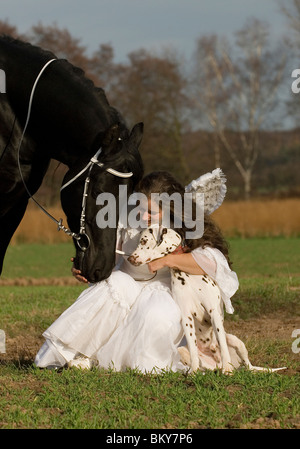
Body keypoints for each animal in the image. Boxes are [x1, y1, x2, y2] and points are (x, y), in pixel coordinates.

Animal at [127, 226, 288, 372]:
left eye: (143, 241)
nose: (129, 258)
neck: (185, 274)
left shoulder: (213, 312)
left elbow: (222, 344)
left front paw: (227, 370)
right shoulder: (186, 317)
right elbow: (193, 350)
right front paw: (193, 372)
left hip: (236, 341)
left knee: (247, 365)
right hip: (181, 351)